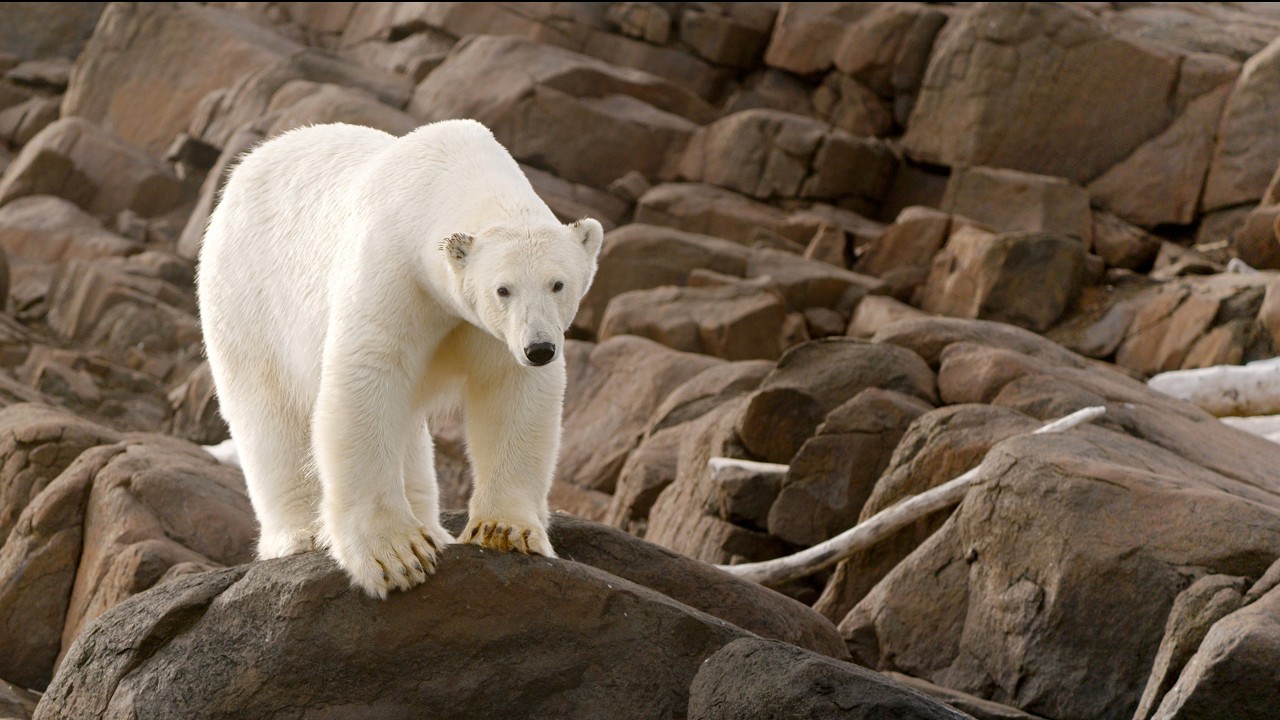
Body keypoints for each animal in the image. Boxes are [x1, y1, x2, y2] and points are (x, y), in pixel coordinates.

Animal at [197, 119, 602, 598]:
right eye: (503, 289)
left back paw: (433, 526)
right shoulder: (393, 272)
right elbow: (367, 378)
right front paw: (394, 555)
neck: (447, 175)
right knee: (269, 414)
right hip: (247, 297)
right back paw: (300, 534)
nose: (539, 348)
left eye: (558, 284)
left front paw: (505, 531)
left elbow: (512, 391)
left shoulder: (492, 333)